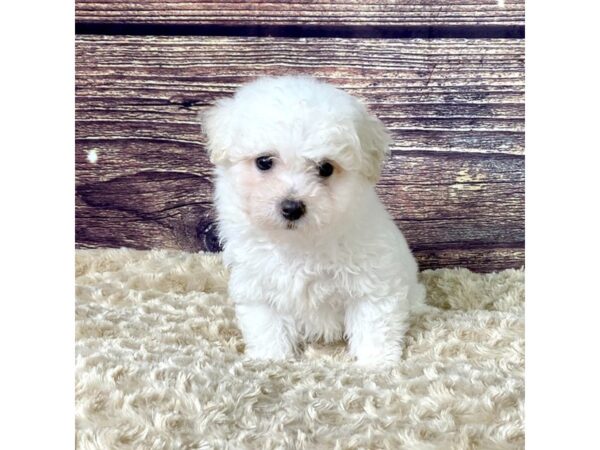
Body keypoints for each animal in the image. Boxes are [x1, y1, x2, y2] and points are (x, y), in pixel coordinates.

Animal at [202, 76, 426, 366]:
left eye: (326, 168)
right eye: (264, 162)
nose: (291, 207)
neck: (299, 241)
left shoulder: (374, 284)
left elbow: (374, 325)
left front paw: (377, 364)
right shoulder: (257, 285)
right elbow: (267, 325)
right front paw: (270, 359)